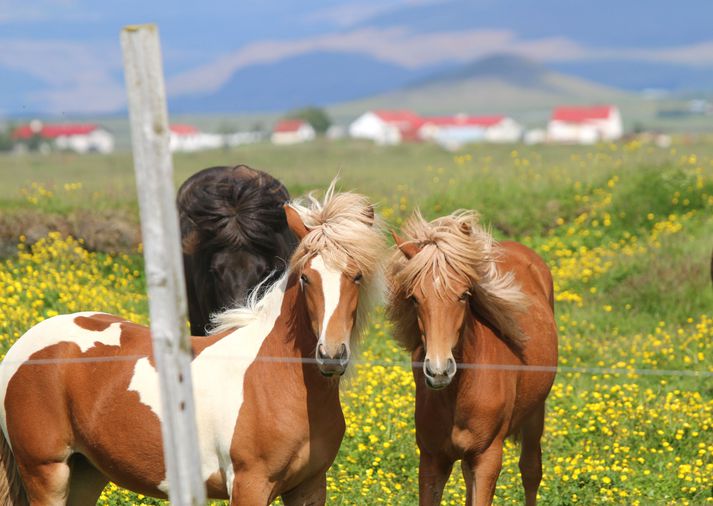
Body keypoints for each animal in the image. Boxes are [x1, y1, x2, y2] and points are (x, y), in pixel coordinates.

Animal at [0, 186, 384, 506]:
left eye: (357, 276)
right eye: (306, 278)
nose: (331, 356)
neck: (275, 378)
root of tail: (20, 348)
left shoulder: (309, 487)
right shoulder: (250, 485)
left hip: (85, 473)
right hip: (47, 472)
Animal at [386, 211, 560, 506]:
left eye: (464, 294)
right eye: (415, 298)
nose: (439, 371)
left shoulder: (487, 459)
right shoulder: (432, 461)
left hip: (535, 415)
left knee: (531, 471)